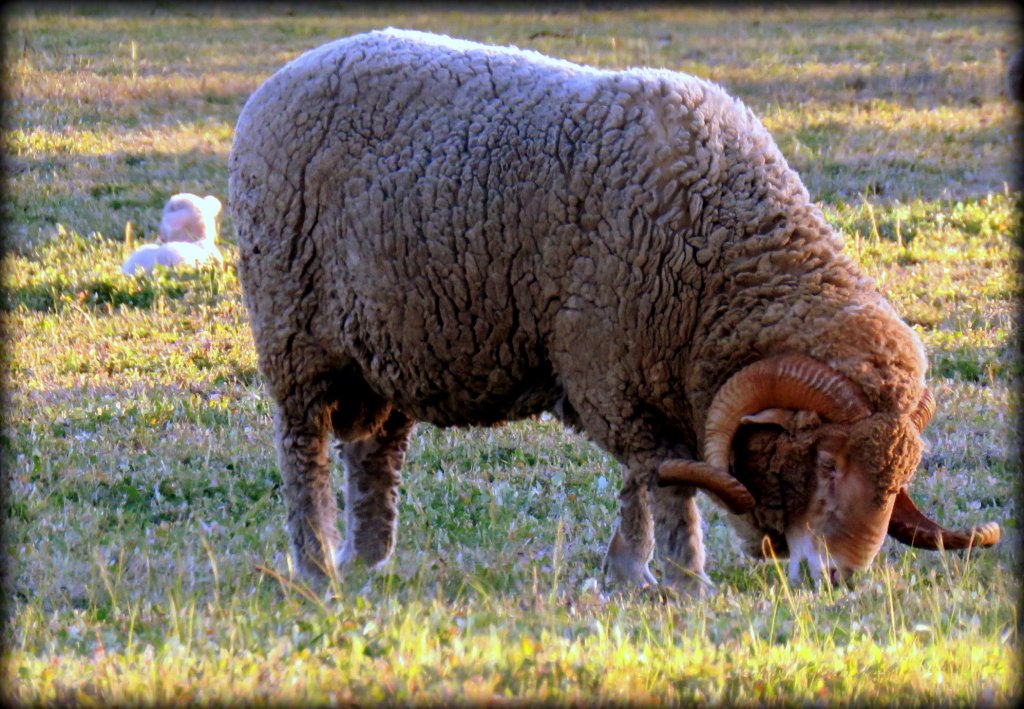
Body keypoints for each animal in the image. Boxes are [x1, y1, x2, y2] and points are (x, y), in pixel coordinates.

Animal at [227, 29, 999, 591]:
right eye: (830, 465)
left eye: (900, 475)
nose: (842, 576)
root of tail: (281, 77)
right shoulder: (612, 375)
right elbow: (665, 480)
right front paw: (684, 579)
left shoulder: (641, 378)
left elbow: (643, 483)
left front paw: (630, 573)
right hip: (295, 336)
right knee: (303, 453)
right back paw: (316, 566)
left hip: (391, 350)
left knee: (375, 456)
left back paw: (368, 559)